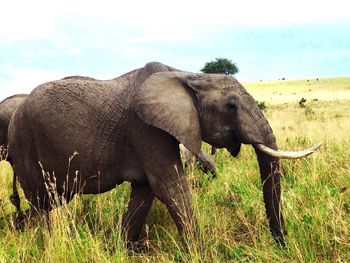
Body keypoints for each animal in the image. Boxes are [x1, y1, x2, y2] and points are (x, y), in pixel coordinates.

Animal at [6, 62, 322, 248]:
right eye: (231, 106)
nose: (281, 245)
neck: (188, 75)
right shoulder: (145, 128)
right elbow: (170, 188)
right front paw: (201, 252)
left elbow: (145, 192)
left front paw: (122, 249)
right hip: (25, 144)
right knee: (42, 203)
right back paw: (42, 242)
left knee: (49, 202)